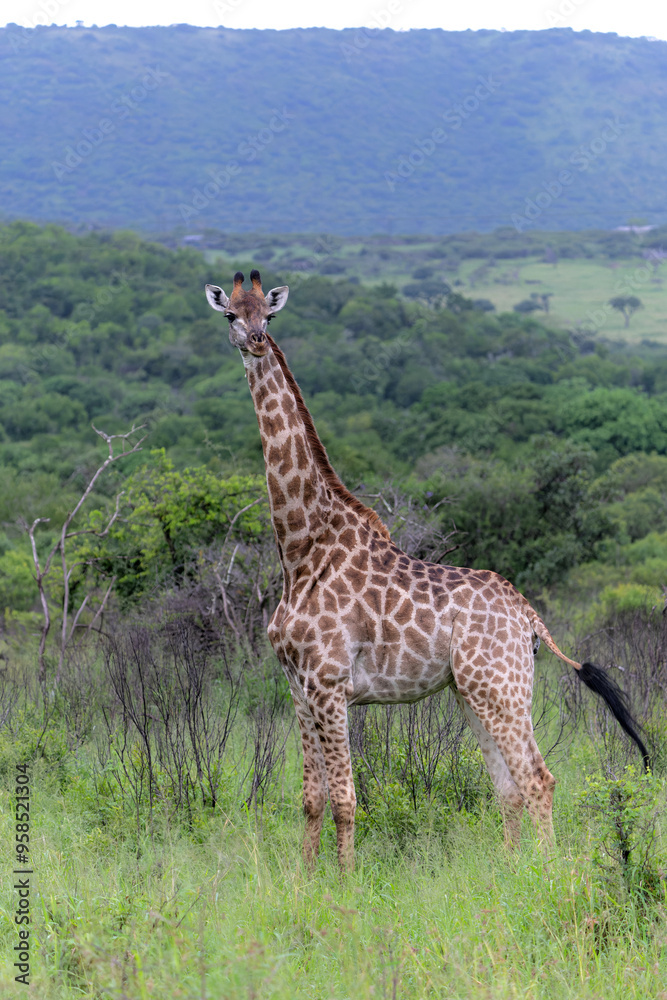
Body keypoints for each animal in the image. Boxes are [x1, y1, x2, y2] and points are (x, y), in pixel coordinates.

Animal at [205, 269, 649, 872]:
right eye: (231, 314)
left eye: (269, 316)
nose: (254, 341)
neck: (300, 551)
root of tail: (530, 617)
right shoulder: (298, 687)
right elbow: (310, 799)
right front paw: (304, 881)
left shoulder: (330, 685)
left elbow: (345, 799)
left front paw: (346, 884)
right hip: (474, 691)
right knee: (507, 787)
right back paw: (510, 872)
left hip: (501, 688)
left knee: (539, 779)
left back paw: (547, 874)